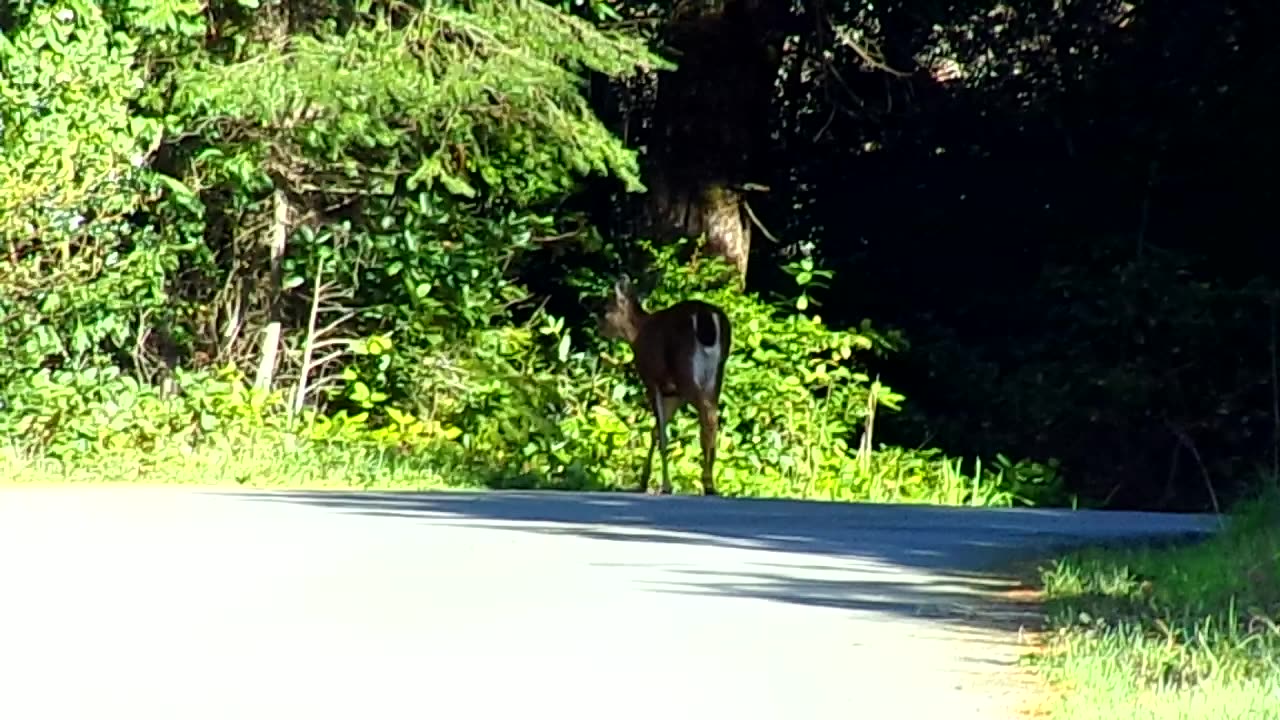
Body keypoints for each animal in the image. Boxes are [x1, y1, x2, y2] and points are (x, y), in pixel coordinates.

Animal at [599, 272, 732, 491]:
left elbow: (661, 433)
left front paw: (662, 484)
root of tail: (705, 315)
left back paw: (707, 482)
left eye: (606, 309)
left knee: (706, 416)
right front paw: (644, 481)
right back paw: (710, 481)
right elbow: (655, 431)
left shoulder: (652, 381)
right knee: (712, 415)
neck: (638, 332)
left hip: (685, 367)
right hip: (717, 371)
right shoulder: (673, 393)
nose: (599, 328)